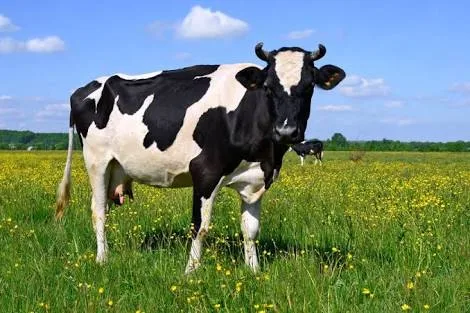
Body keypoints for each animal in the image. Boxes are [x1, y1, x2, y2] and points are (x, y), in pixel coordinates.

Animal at [56, 42, 346, 272]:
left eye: (309, 86)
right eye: (268, 87)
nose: (286, 131)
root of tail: (85, 88)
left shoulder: (255, 179)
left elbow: (250, 229)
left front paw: (253, 270)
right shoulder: (205, 172)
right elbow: (200, 226)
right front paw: (191, 271)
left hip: (117, 167)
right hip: (97, 162)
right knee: (98, 211)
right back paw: (102, 259)